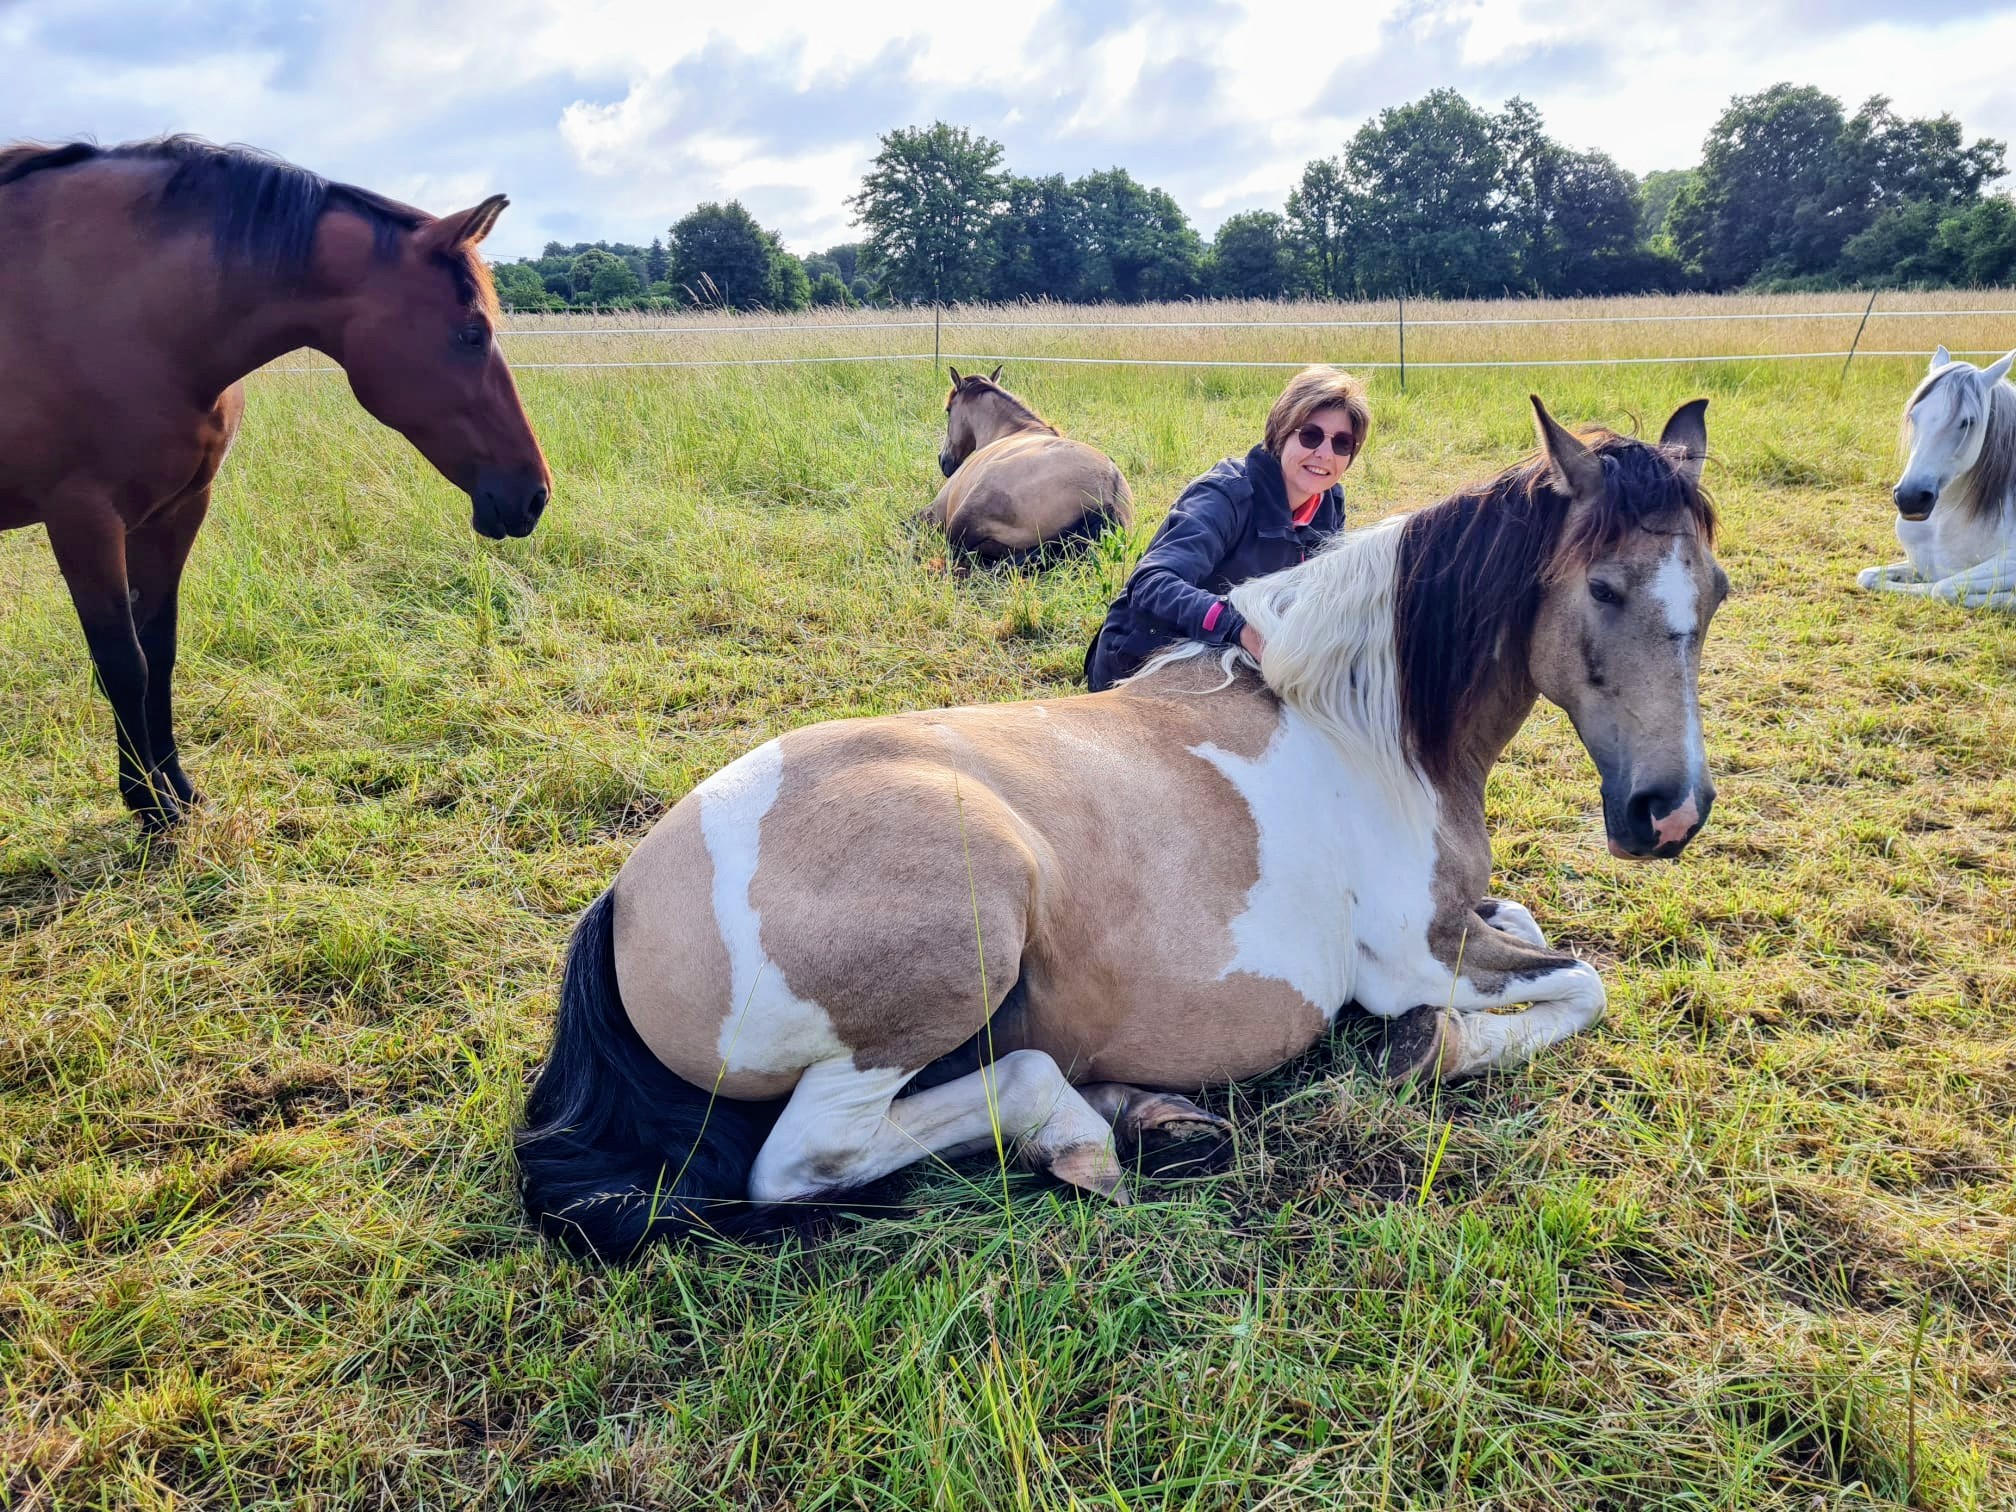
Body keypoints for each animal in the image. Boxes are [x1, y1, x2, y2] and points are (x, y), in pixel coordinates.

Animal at [0, 136, 552, 830]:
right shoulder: (84, 520)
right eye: (471, 333)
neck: (118, 306)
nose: (534, 494)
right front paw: (151, 809)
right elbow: (124, 664)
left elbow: (160, 649)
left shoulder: (174, 511)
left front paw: (178, 791)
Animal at [518, 396, 1725, 1259]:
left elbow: (1532, 924)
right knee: (814, 1156)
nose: (1668, 813)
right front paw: (1435, 1048)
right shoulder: (1421, 957)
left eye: (1712, 593)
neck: (1362, 722)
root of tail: (626, 899)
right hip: (946, 963)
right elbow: (1580, 983)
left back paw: (1148, 1114)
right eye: (1605, 588)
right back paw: (1080, 1132)